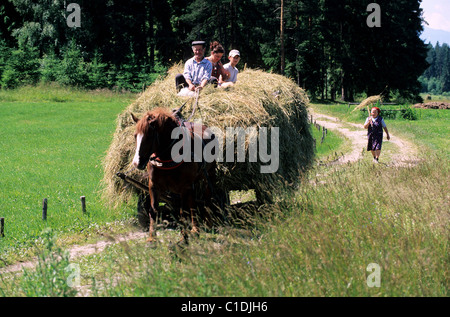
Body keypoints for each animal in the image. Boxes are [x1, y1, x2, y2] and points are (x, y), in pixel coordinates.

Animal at [130, 107, 216, 242]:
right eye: (135, 136)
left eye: (149, 136)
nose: (136, 163)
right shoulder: (153, 185)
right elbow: (153, 210)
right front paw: (152, 238)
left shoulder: (183, 187)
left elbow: (182, 212)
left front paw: (183, 238)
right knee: (193, 203)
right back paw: (195, 230)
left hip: (208, 176)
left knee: (207, 199)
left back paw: (207, 224)